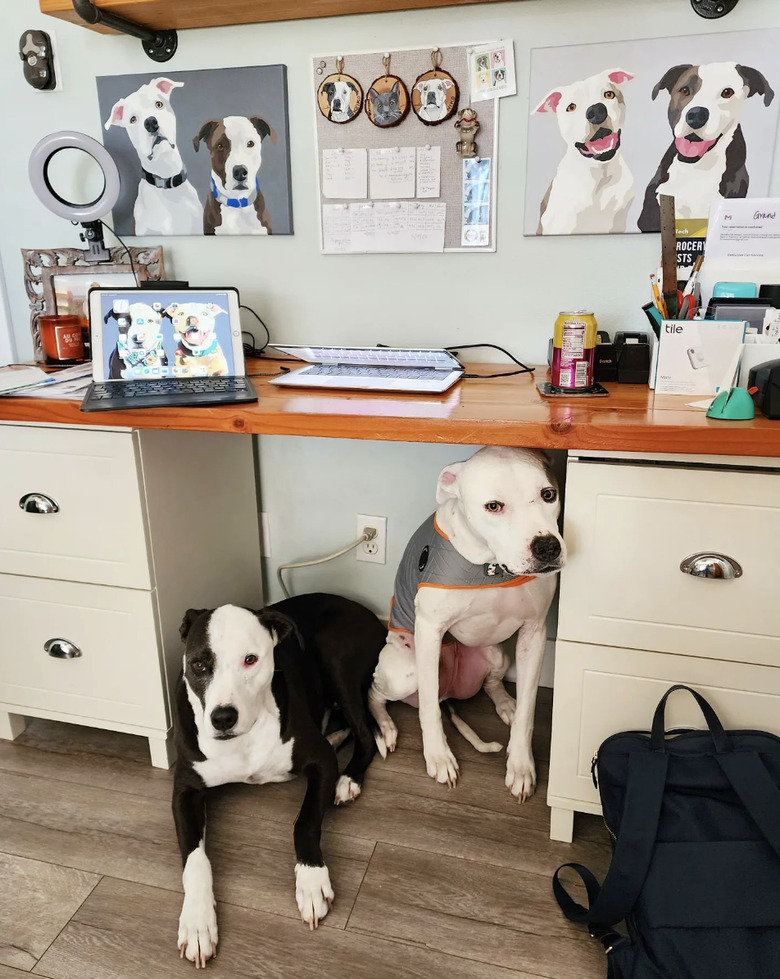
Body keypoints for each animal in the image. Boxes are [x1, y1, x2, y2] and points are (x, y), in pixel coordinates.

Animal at [174, 592, 386, 968]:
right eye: (198, 665)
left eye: (250, 659)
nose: (223, 718)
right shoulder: (184, 790)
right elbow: (195, 859)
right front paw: (197, 922)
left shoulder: (320, 763)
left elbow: (304, 822)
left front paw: (311, 879)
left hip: (336, 655)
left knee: (366, 733)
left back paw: (348, 778)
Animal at [368, 448, 564, 800]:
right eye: (493, 506)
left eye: (548, 494)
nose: (547, 547)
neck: (492, 566)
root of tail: (449, 693)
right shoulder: (430, 631)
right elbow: (428, 710)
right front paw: (439, 757)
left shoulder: (534, 632)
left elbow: (529, 710)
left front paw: (521, 766)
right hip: (406, 670)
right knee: (377, 692)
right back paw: (386, 727)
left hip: (497, 655)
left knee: (493, 684)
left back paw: (506, 705)